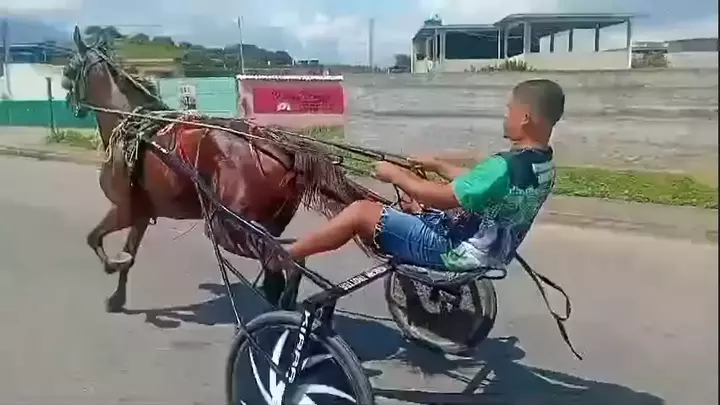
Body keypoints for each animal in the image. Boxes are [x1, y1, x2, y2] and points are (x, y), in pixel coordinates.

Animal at [61, 27, 382, 313]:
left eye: (68, 71)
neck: (133, 125)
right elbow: (129, 252)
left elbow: (94, 238)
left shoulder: (123, 208)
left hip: (227, 225)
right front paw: (117, 296)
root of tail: (282, 149)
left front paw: (112, 265)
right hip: (262, 224)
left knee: (286, 262)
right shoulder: (141, 211)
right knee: (281, 265)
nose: (70, 104)